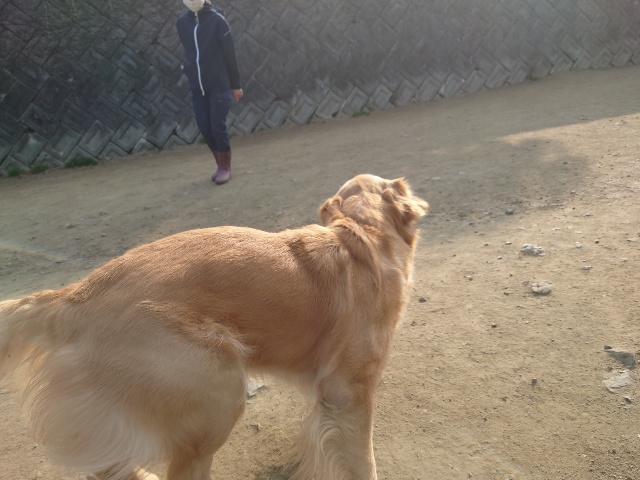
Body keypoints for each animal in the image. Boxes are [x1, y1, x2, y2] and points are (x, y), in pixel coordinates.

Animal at [0, 174, 428, 480]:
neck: (363, 234)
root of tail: (72, 297)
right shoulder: (350, 392)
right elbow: (362, 461)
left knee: (107, 465)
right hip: (218, 390)